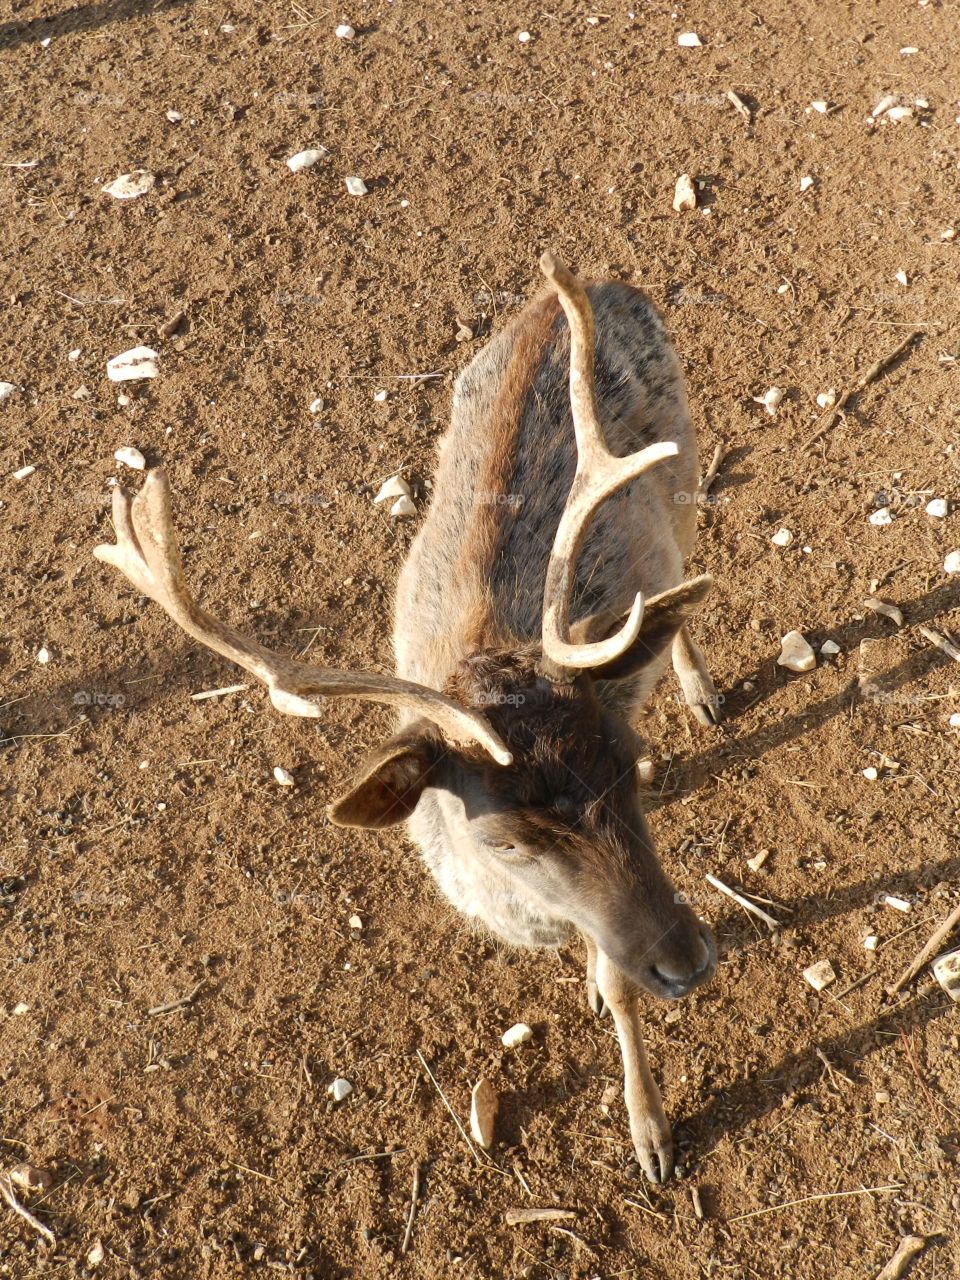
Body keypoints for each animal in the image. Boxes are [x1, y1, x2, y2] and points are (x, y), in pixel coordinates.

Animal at [94, 252, 720, 1182]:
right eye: (505, 839)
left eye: (628, 765)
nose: (687, 959)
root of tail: (597, 287)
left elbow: (614, 981)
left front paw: (652, 1134)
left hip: (681, 464)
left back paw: (701, 686)